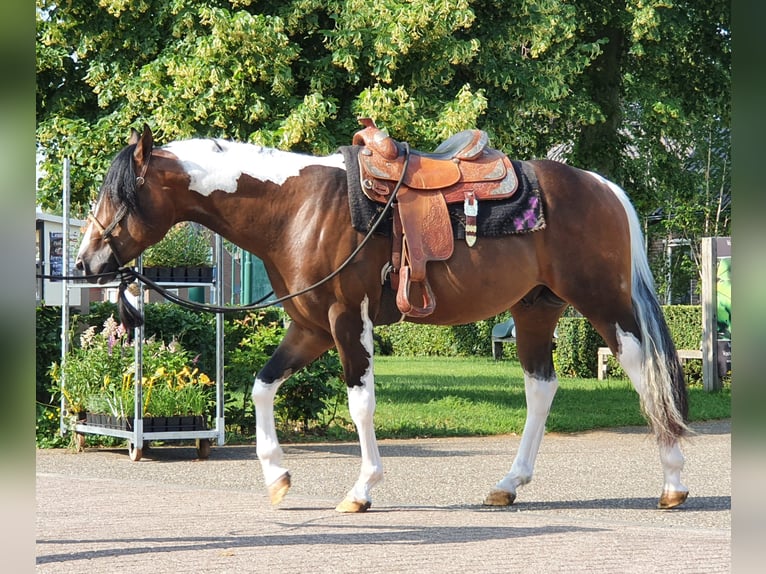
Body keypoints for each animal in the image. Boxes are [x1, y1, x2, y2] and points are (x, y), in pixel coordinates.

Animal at [75, 122, 692, 512]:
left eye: (120, 196)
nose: (85, 262)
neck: (296, 208)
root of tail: (605, 187)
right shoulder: (310, 328)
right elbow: (261, 388)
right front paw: (277, 477)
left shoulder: (348, 320)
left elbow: (360, 404)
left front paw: (361, 489)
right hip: (536, 310)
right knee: (541, 388)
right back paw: (508, 484)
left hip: (605, 305)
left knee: (647, 376)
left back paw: (672, 483)